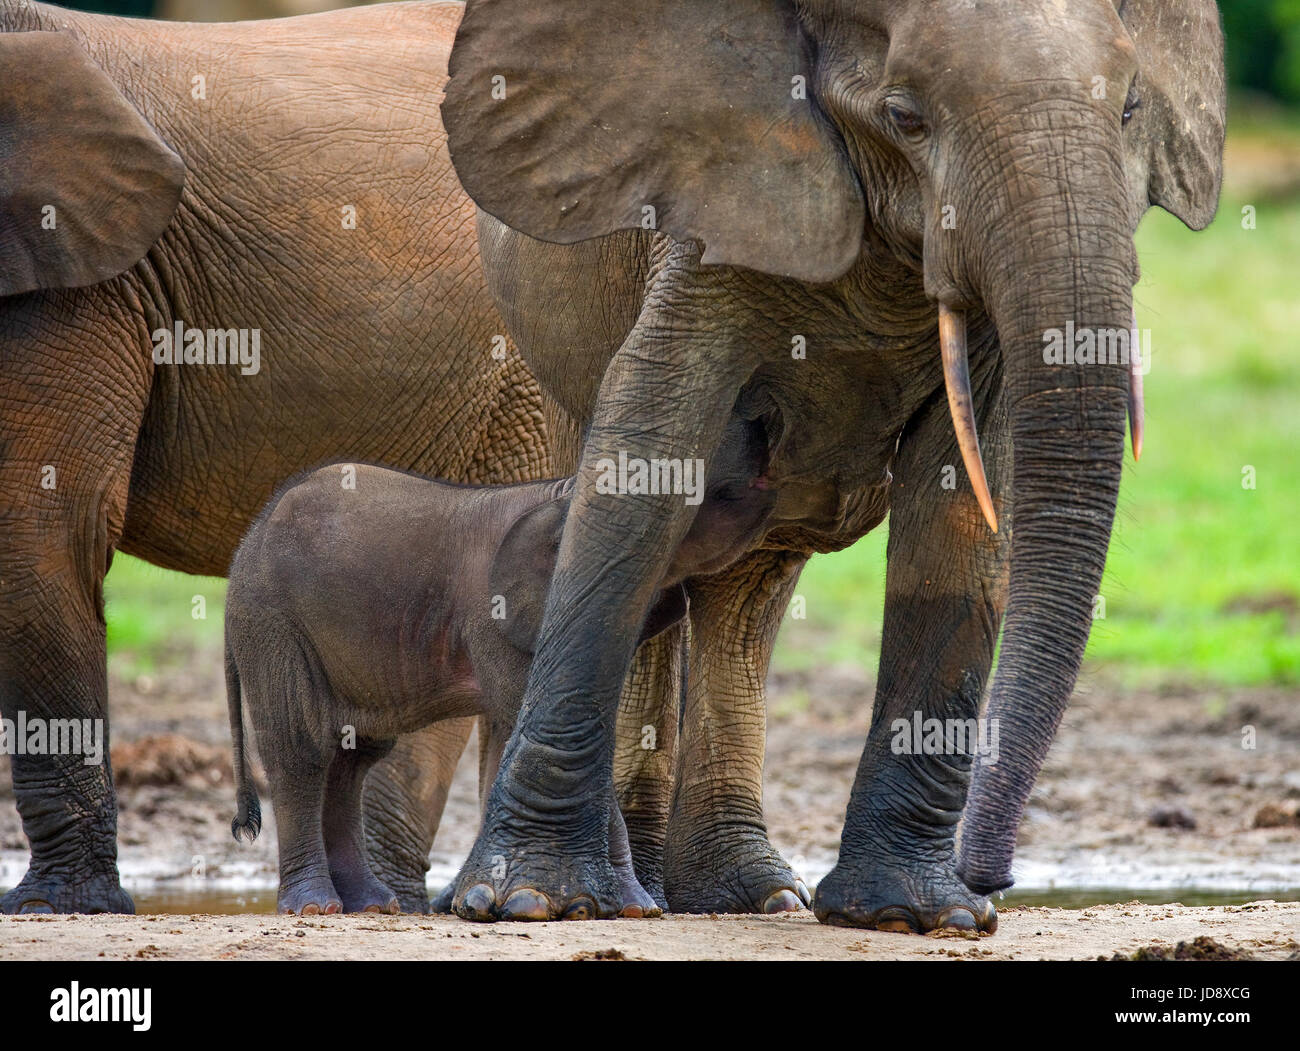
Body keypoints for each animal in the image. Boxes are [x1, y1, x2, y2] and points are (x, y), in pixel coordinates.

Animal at [223, 413, 773, 915]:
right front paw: (630, 907)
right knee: (302, 751)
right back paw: (316, 908)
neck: (564, 493)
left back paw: (373, 906)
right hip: (272, 621)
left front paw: (622, 906)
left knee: (354, 757)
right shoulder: (494, 615)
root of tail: (244, 548)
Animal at [435, 0, 1225, 930]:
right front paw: (531, 900)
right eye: (906, 117)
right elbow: (646, 457)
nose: (994, 879)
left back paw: (740, 896)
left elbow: (962, 504)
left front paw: (919, 915)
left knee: (746, 585)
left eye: (1131, 108)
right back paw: (637, 897)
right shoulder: (710, 198)